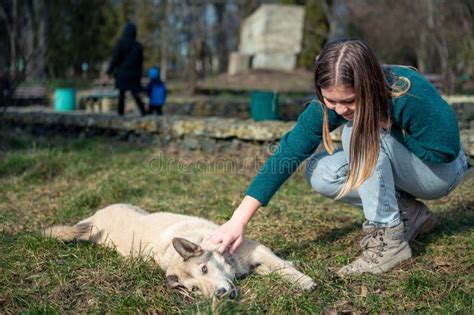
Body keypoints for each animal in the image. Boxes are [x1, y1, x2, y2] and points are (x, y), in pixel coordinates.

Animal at [44, 205, 316, 298]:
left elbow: (281, 265)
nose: (220, 295)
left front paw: (303, 280)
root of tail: (93, 222)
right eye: (194, 289)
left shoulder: (256, 250)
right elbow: (275, 269)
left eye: (205, 269)